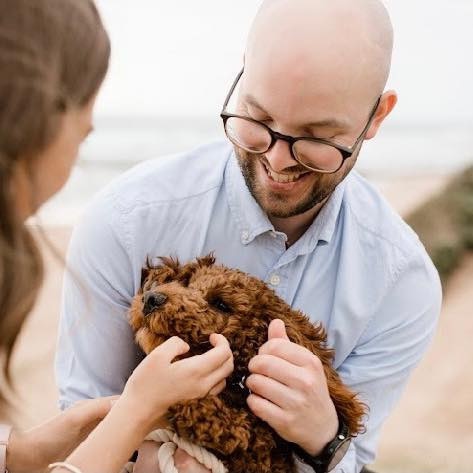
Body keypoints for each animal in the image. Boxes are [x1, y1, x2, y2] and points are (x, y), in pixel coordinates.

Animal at [129, 254, 366, 472]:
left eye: (221, 304)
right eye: (188, 284)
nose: (151, 298)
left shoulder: (261, 456)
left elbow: (243, 433)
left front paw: (189, 403)